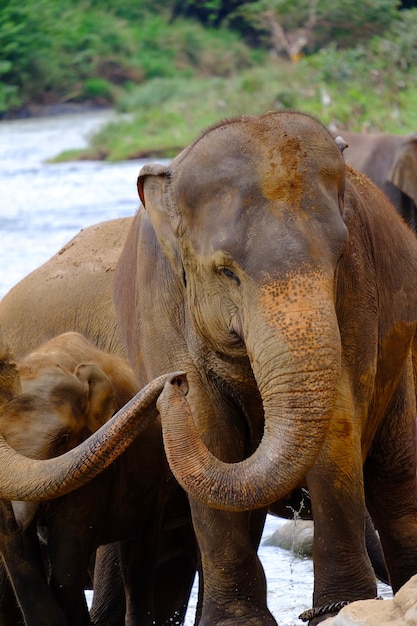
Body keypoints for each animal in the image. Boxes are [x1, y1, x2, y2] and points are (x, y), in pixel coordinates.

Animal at [0, 112, 416, 624]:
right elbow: (209, 426)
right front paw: (239, 621)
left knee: (396, 483)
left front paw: (338, 608)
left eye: (339, 256)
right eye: (226, 271)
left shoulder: (360, 290)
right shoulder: (157, 300)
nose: (169, 384)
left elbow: (338, 416)